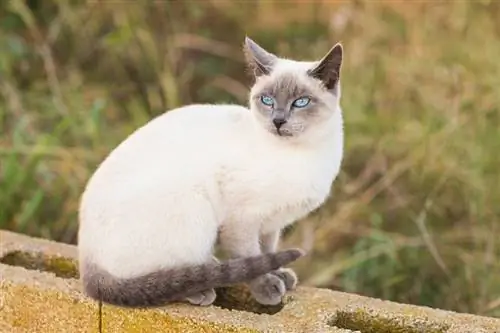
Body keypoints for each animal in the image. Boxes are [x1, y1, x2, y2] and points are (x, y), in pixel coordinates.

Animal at [77, 36, 344, 306]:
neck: (304, 153)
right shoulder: (243, 219)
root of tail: (87, 260)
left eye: (301, 102)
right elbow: (249, 255)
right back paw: (200, 289)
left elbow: (266, 251)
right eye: (267, 101)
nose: (278, 122)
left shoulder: (271, 223)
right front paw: (267, 288)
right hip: (195, 211)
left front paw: (279, 274)